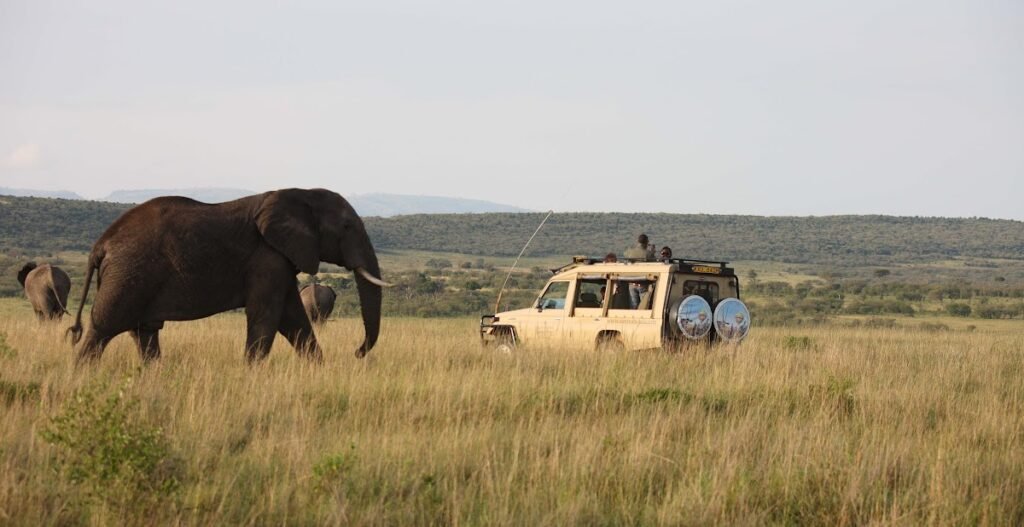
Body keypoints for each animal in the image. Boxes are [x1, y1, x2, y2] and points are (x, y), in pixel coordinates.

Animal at [67, 188, 391, 364]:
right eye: (347, 227)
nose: (357, 352)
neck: (298, 192)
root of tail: (101, 244)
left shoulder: (280, 260)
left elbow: (294, 320)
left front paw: (317, 370)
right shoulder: (266, 257)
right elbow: (267, 316)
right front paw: (252, 375)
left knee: (143, 332)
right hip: (128, 273)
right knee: (103, 327)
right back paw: (82, 375)